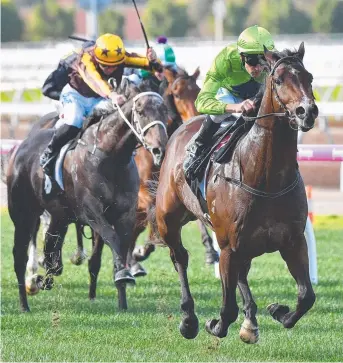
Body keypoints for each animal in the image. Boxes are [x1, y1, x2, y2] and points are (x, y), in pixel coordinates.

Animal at [7, 79, 169, 312]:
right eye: (140, 111)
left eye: (165, 110)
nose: (159, 150)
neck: (111, 158)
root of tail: (21, 146)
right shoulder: (92, 212)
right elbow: (113, 239)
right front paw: (123, 274)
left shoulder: (125, 214)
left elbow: (114, 250)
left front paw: (122, 297)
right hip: (24, 215)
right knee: (20, 256)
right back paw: (25, 301)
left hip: (60, 216)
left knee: (51, 244)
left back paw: (46, 276)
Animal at [150, 44, 320, 342]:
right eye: (278, 80)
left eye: (309, 77)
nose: (306, 111)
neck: (265, 178)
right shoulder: (228, 246)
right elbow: (227, 309)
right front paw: (213, 324)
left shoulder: (293, 242)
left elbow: (306, 296)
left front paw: (278, 311)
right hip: (167, 218)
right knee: (180, 257)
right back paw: (189, 319)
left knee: (242, 273)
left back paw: (250, 320)